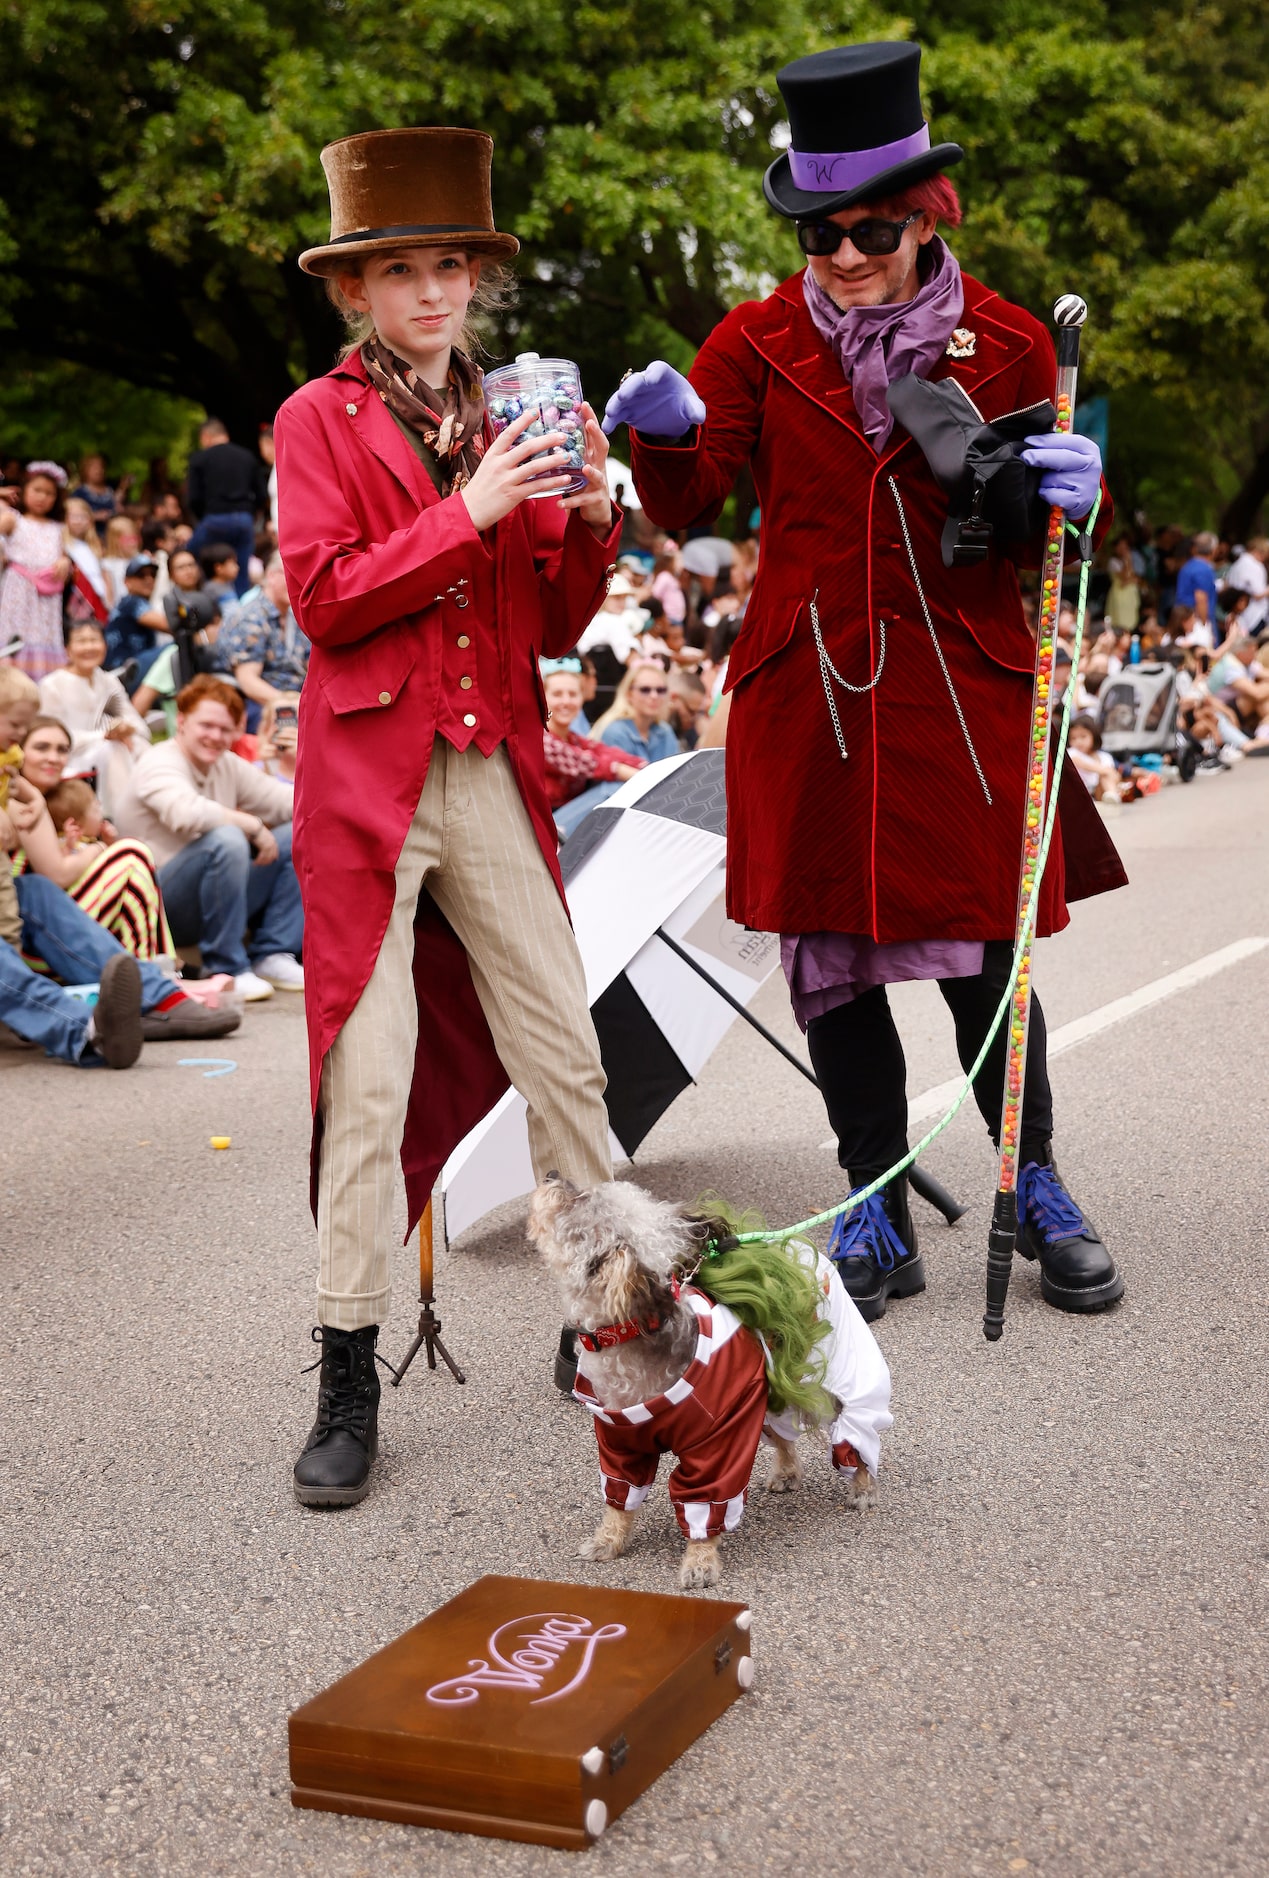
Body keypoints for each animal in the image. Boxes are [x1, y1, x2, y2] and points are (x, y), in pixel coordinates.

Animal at [525, 1171, 893, 1585]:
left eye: (581, 1199)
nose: (552, 1175)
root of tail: (798, 1247)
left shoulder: (717, 1446)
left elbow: (705, 1502)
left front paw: (699, 1561)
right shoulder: (621, 1442)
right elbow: (620, 1498)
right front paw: (609, 1540)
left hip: (830, 1384)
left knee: (854, 1434)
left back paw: (862, 1484)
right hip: (766, 1393)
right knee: (783, 1436)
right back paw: (786, 1471)